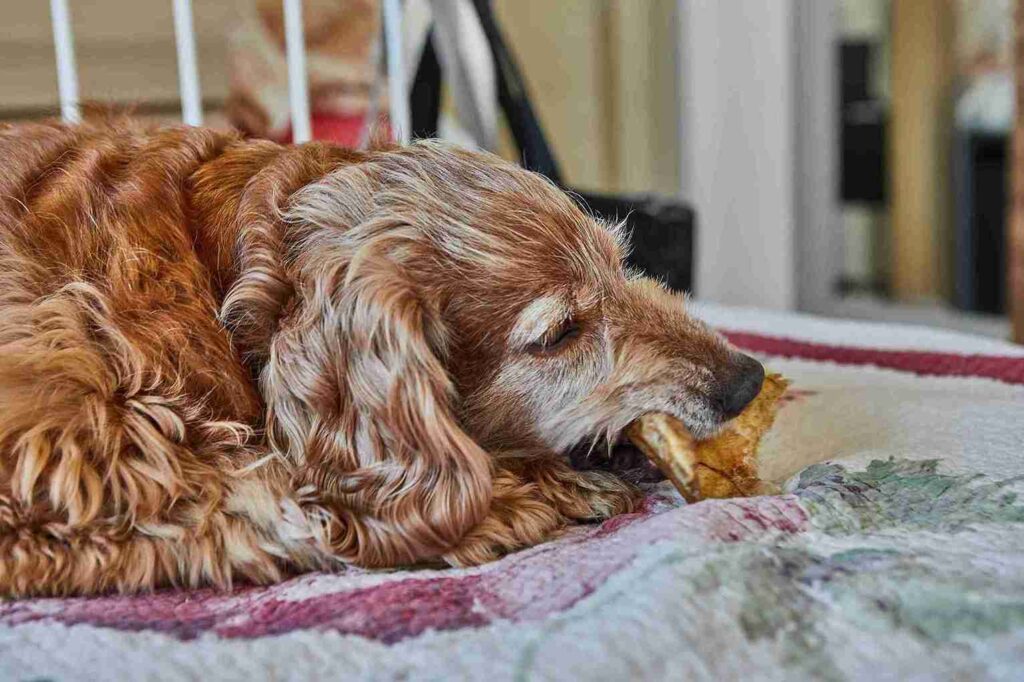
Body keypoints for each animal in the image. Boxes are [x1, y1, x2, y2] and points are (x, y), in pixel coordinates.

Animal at [0, 119, 761, 593]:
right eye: (558, 334)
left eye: (621, 265)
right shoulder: (68, 431)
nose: (746, 381)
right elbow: (242, 493)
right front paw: (525, 497)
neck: (222, 270)